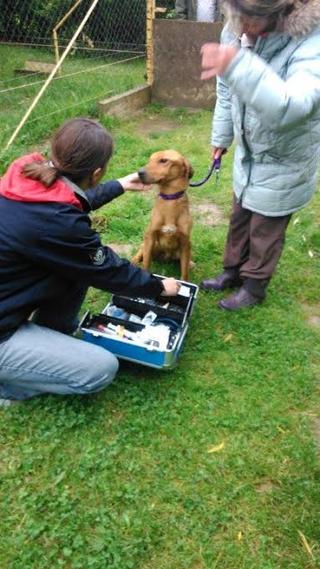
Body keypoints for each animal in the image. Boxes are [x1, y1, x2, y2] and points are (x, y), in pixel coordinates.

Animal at [132, 150, 194, 280]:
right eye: (150, 160)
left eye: (164, 160)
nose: (139, 172)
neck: (170, 199)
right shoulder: (150, 236)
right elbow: (146, 263)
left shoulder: (185, 242)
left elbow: (184, 272)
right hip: (150, 243)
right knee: (141, 250)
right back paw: (134, 260)